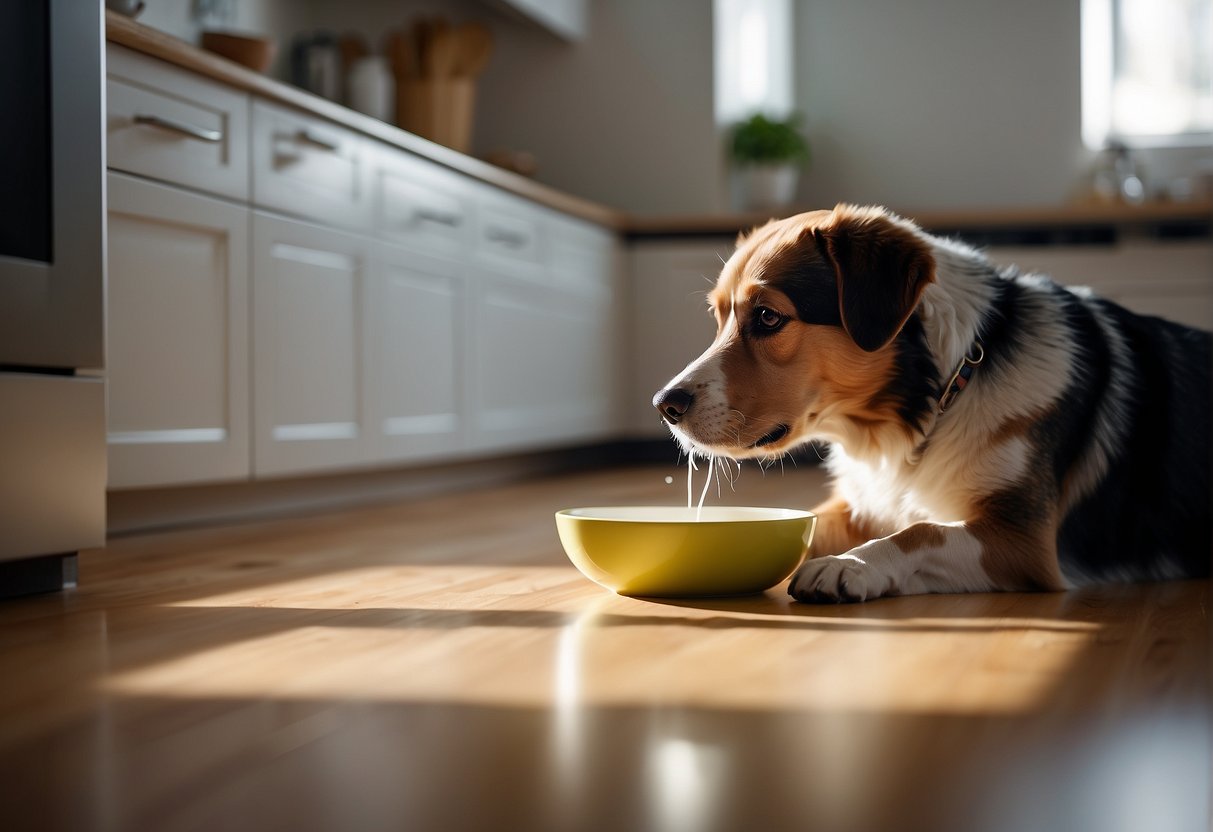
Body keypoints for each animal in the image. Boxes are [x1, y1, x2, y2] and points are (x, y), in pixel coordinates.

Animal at [659, 204, 1208, 603]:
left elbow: (920, 531)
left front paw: (851, 564)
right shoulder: (861, 504)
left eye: (769, 318)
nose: (665, 404)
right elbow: (810, 521)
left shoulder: (1024, 542)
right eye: (719, 317)